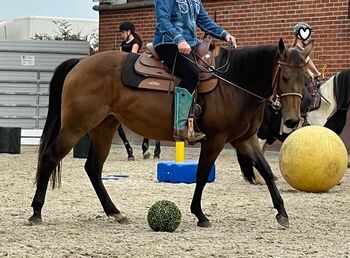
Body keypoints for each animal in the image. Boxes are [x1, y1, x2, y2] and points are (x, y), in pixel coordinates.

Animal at [28, 38, 312, 228]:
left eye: (306, 79)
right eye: (285, 77)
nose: (292, 120)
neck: (233, 84)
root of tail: (81, 63)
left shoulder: (244, 140)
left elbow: (266, 170)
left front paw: (282, 213)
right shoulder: (216, 139)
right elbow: (201, 174)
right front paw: (199, 214)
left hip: (104, 127)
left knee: (93, 168)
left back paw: (114, 211)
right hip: (76, 125)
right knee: (51, 156)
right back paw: (36, 212)